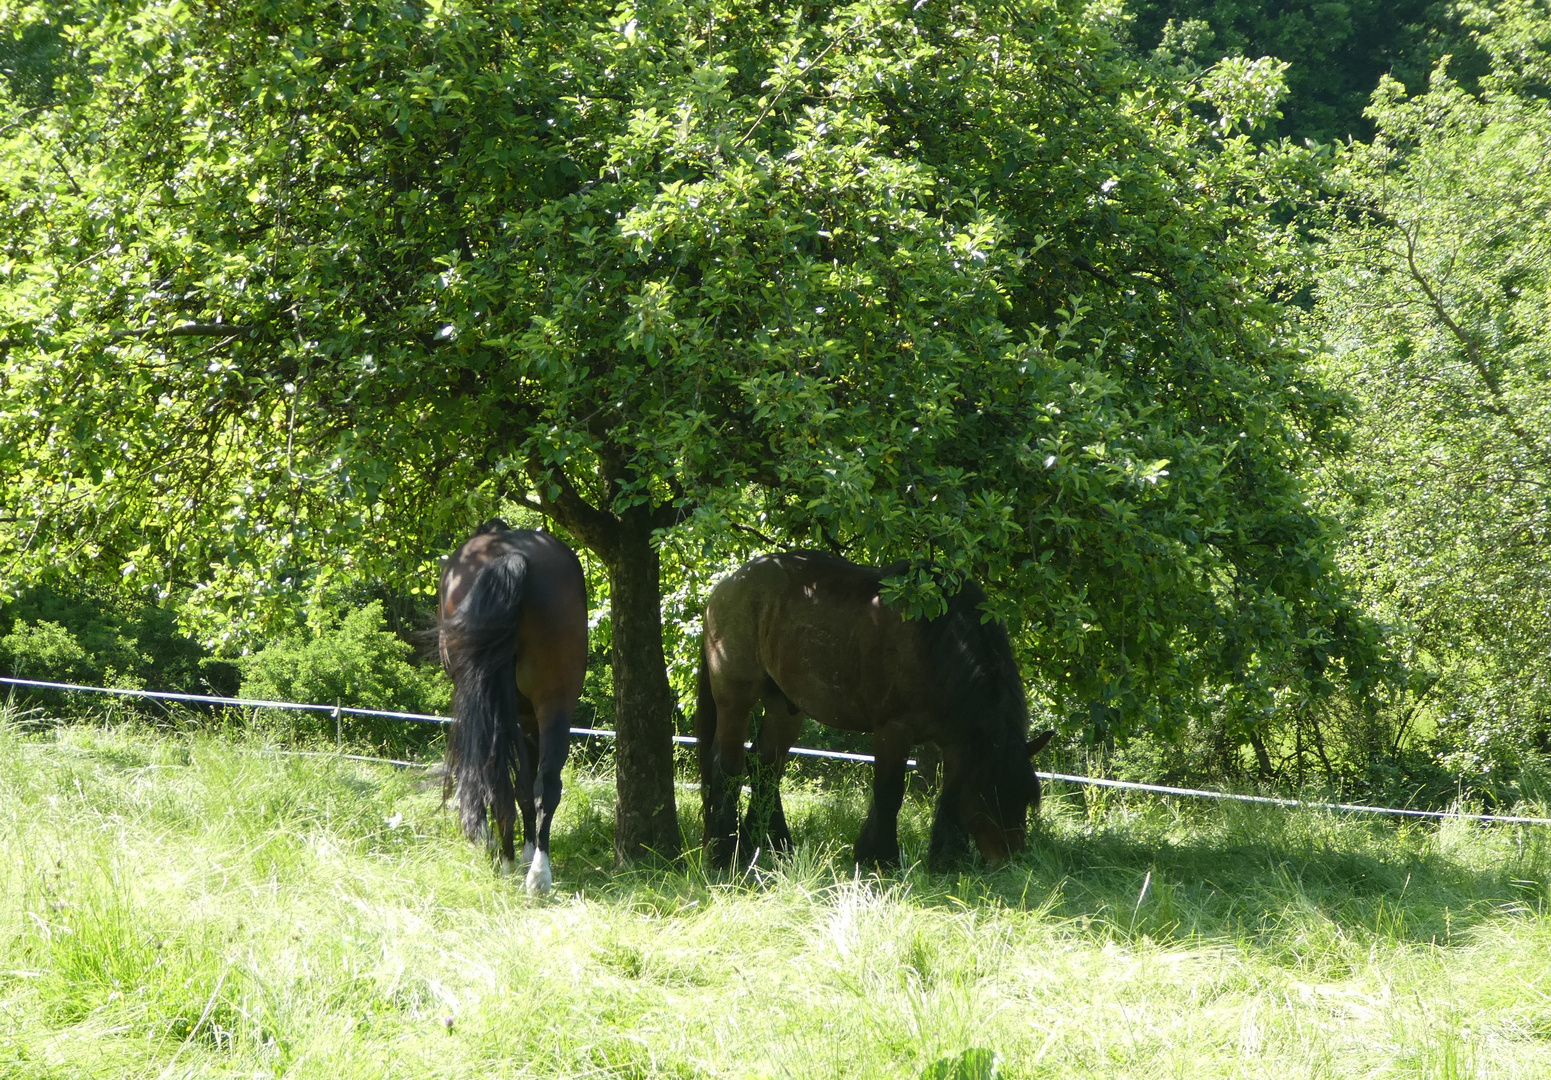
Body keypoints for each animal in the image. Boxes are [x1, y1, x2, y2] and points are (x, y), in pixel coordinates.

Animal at [437, 518, 586, 887]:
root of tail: (512, 555)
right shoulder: (529, 718)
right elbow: (527, 785)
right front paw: (527, 850)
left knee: (500, 777)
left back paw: (511, 861)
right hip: (554, 702)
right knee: (546, 781)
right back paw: (538, 873)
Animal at [701, 552, 1054, 875]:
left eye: (1024, 799)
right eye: (990, 795)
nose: (1009, 862)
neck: (938, 640)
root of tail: (726, 586)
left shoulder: (958, 742)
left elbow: (950, 798)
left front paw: (947, 860)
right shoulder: (893, 729)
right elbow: (889, 793)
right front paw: (880, 859)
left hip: (784, 706)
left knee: (764, 768)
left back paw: (770, 846)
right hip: (735, 699)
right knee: (727, 768)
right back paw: (724, 853)